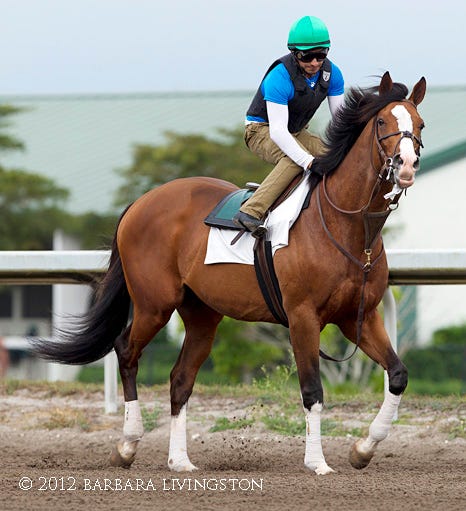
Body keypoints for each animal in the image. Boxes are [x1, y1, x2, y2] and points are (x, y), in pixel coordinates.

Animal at [32, 72, 426, 475]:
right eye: (382, 122)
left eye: (419, 124)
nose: (406, 165)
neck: (345, 226)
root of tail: (141, 202)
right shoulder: (302, 317)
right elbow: (313, 390)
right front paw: (317, 462)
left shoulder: (357, 316)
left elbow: (397, 375)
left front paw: (363, 449)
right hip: (154, 304)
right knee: (126, 351)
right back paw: (127, 446)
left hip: (202, 315)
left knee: (180, 379)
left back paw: (180, 460)